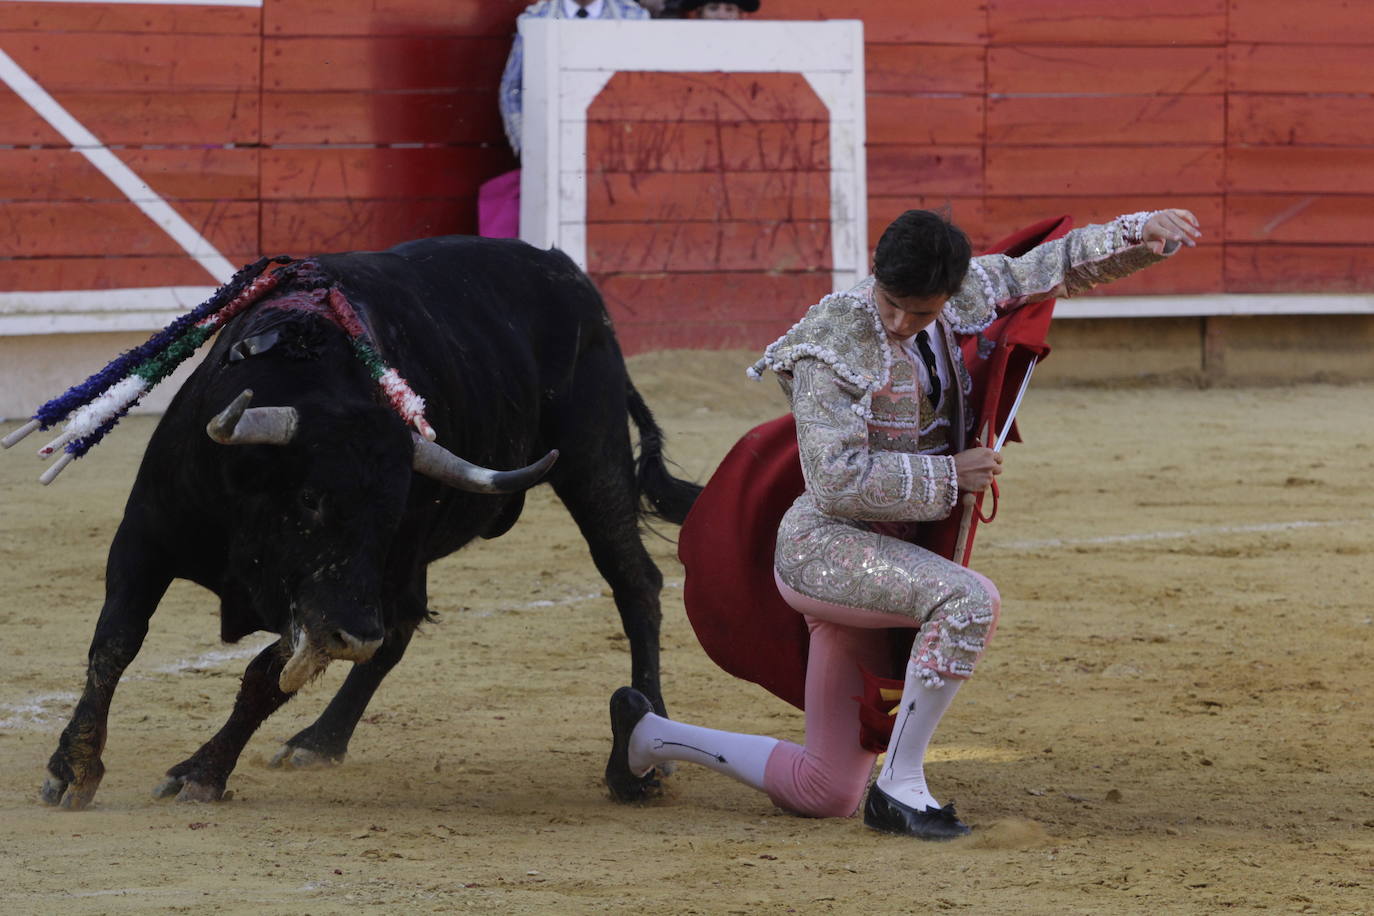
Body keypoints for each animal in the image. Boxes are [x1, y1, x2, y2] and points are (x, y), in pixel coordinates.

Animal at [37, 238, 703, 807]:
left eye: (393, 507)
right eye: (310, 497)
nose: (354, 637)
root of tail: (572, 277)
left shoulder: (332, 594)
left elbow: (263, 676)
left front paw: (200, 772)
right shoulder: (145, 537)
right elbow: (114, 644)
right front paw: (72, 769)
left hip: (592, 460)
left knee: (634, 582)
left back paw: (649, 741)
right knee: (403, 626)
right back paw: (322, 739)